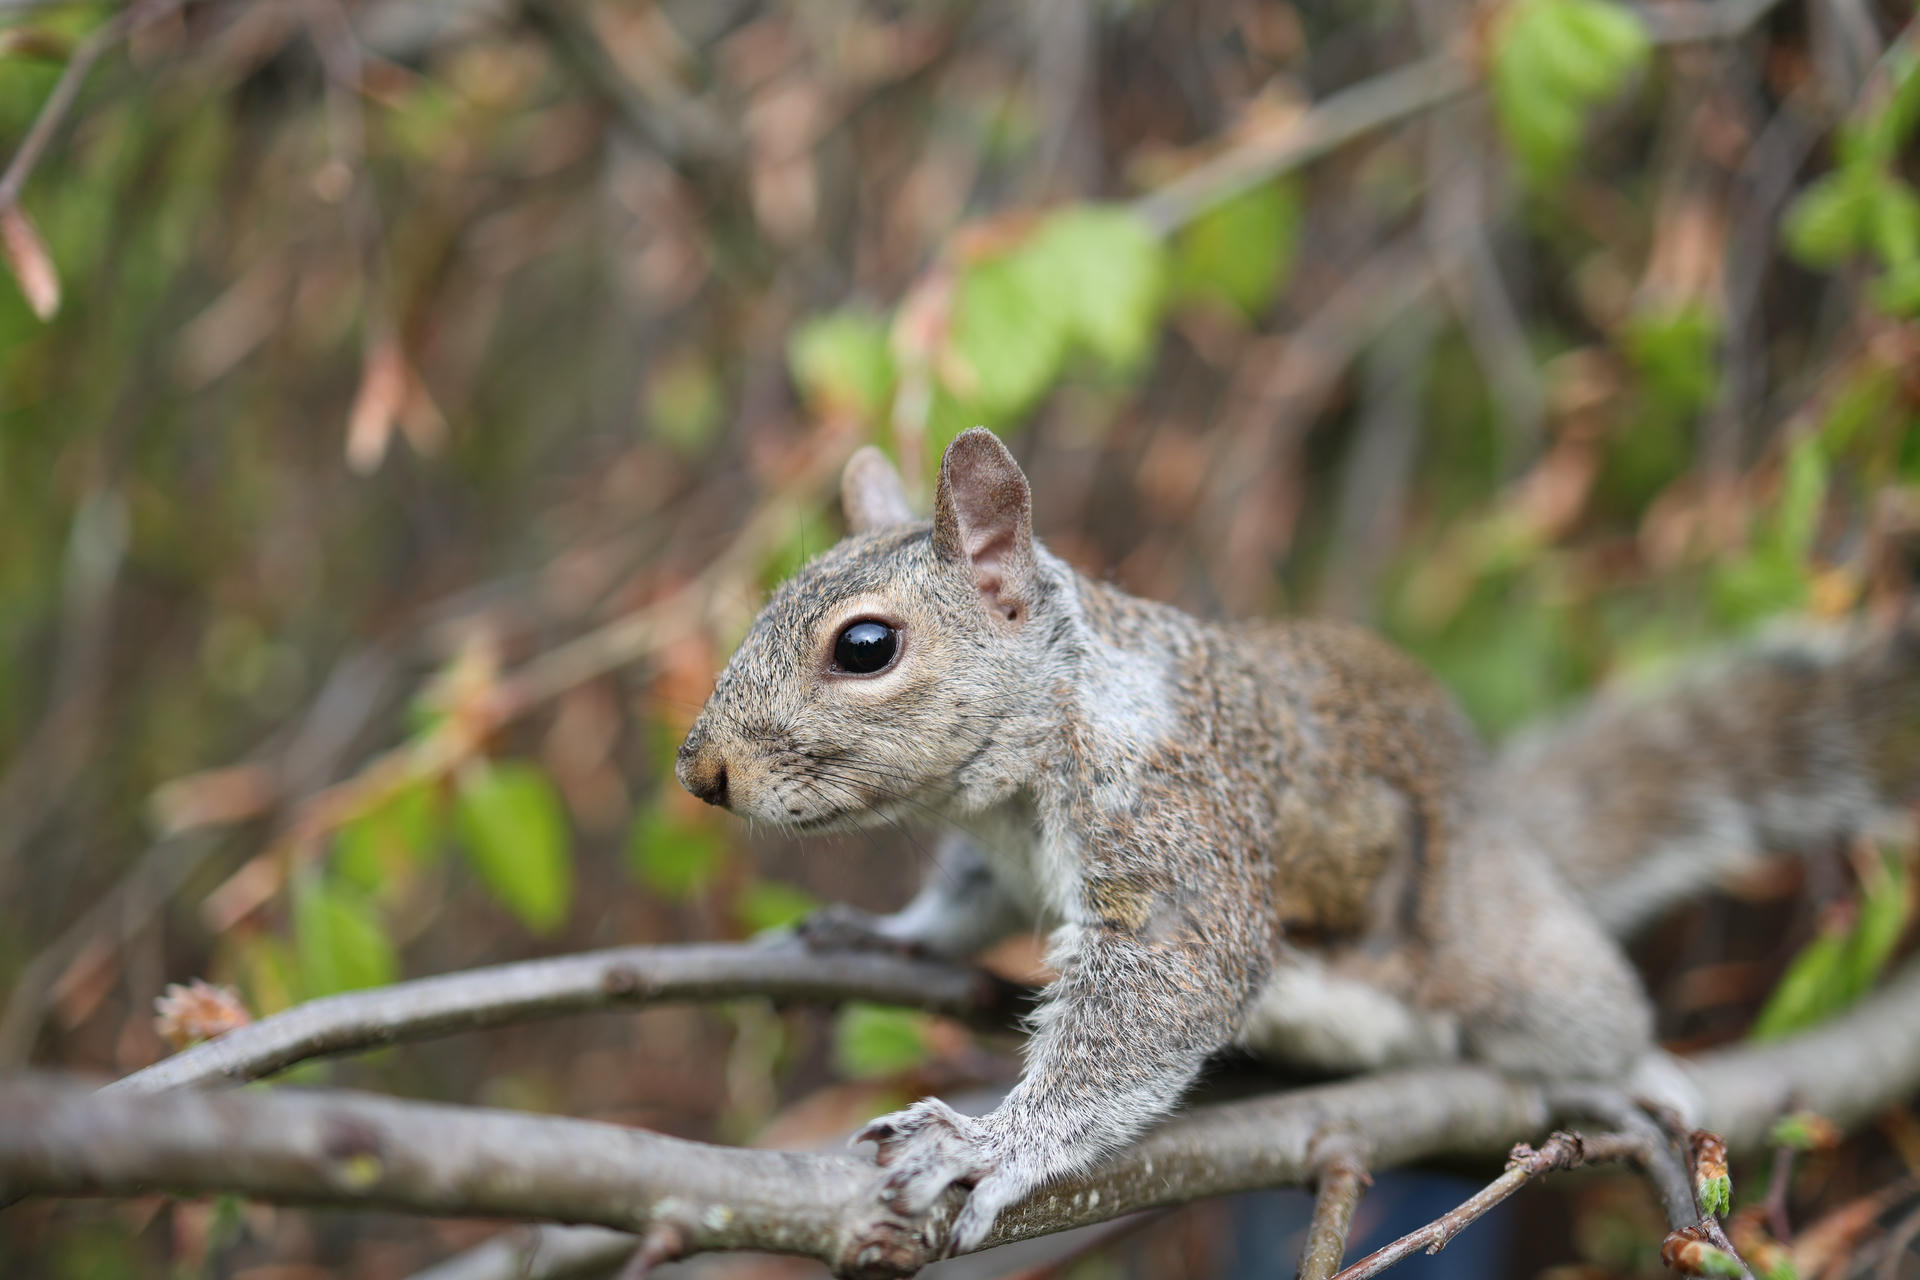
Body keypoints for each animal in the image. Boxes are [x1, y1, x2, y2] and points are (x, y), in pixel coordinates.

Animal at [676, 426, 1920, 1258]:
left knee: (1579, 1001)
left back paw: (1637, 1067)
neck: (1036, 748)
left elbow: (1166, 991)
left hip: (1501, 949)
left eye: (866, 646)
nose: (700, 769)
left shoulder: (1182, 820)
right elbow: (960, 906)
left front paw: (988, 1140)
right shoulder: (993, 850)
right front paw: (880, 932)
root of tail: (1505, 827)